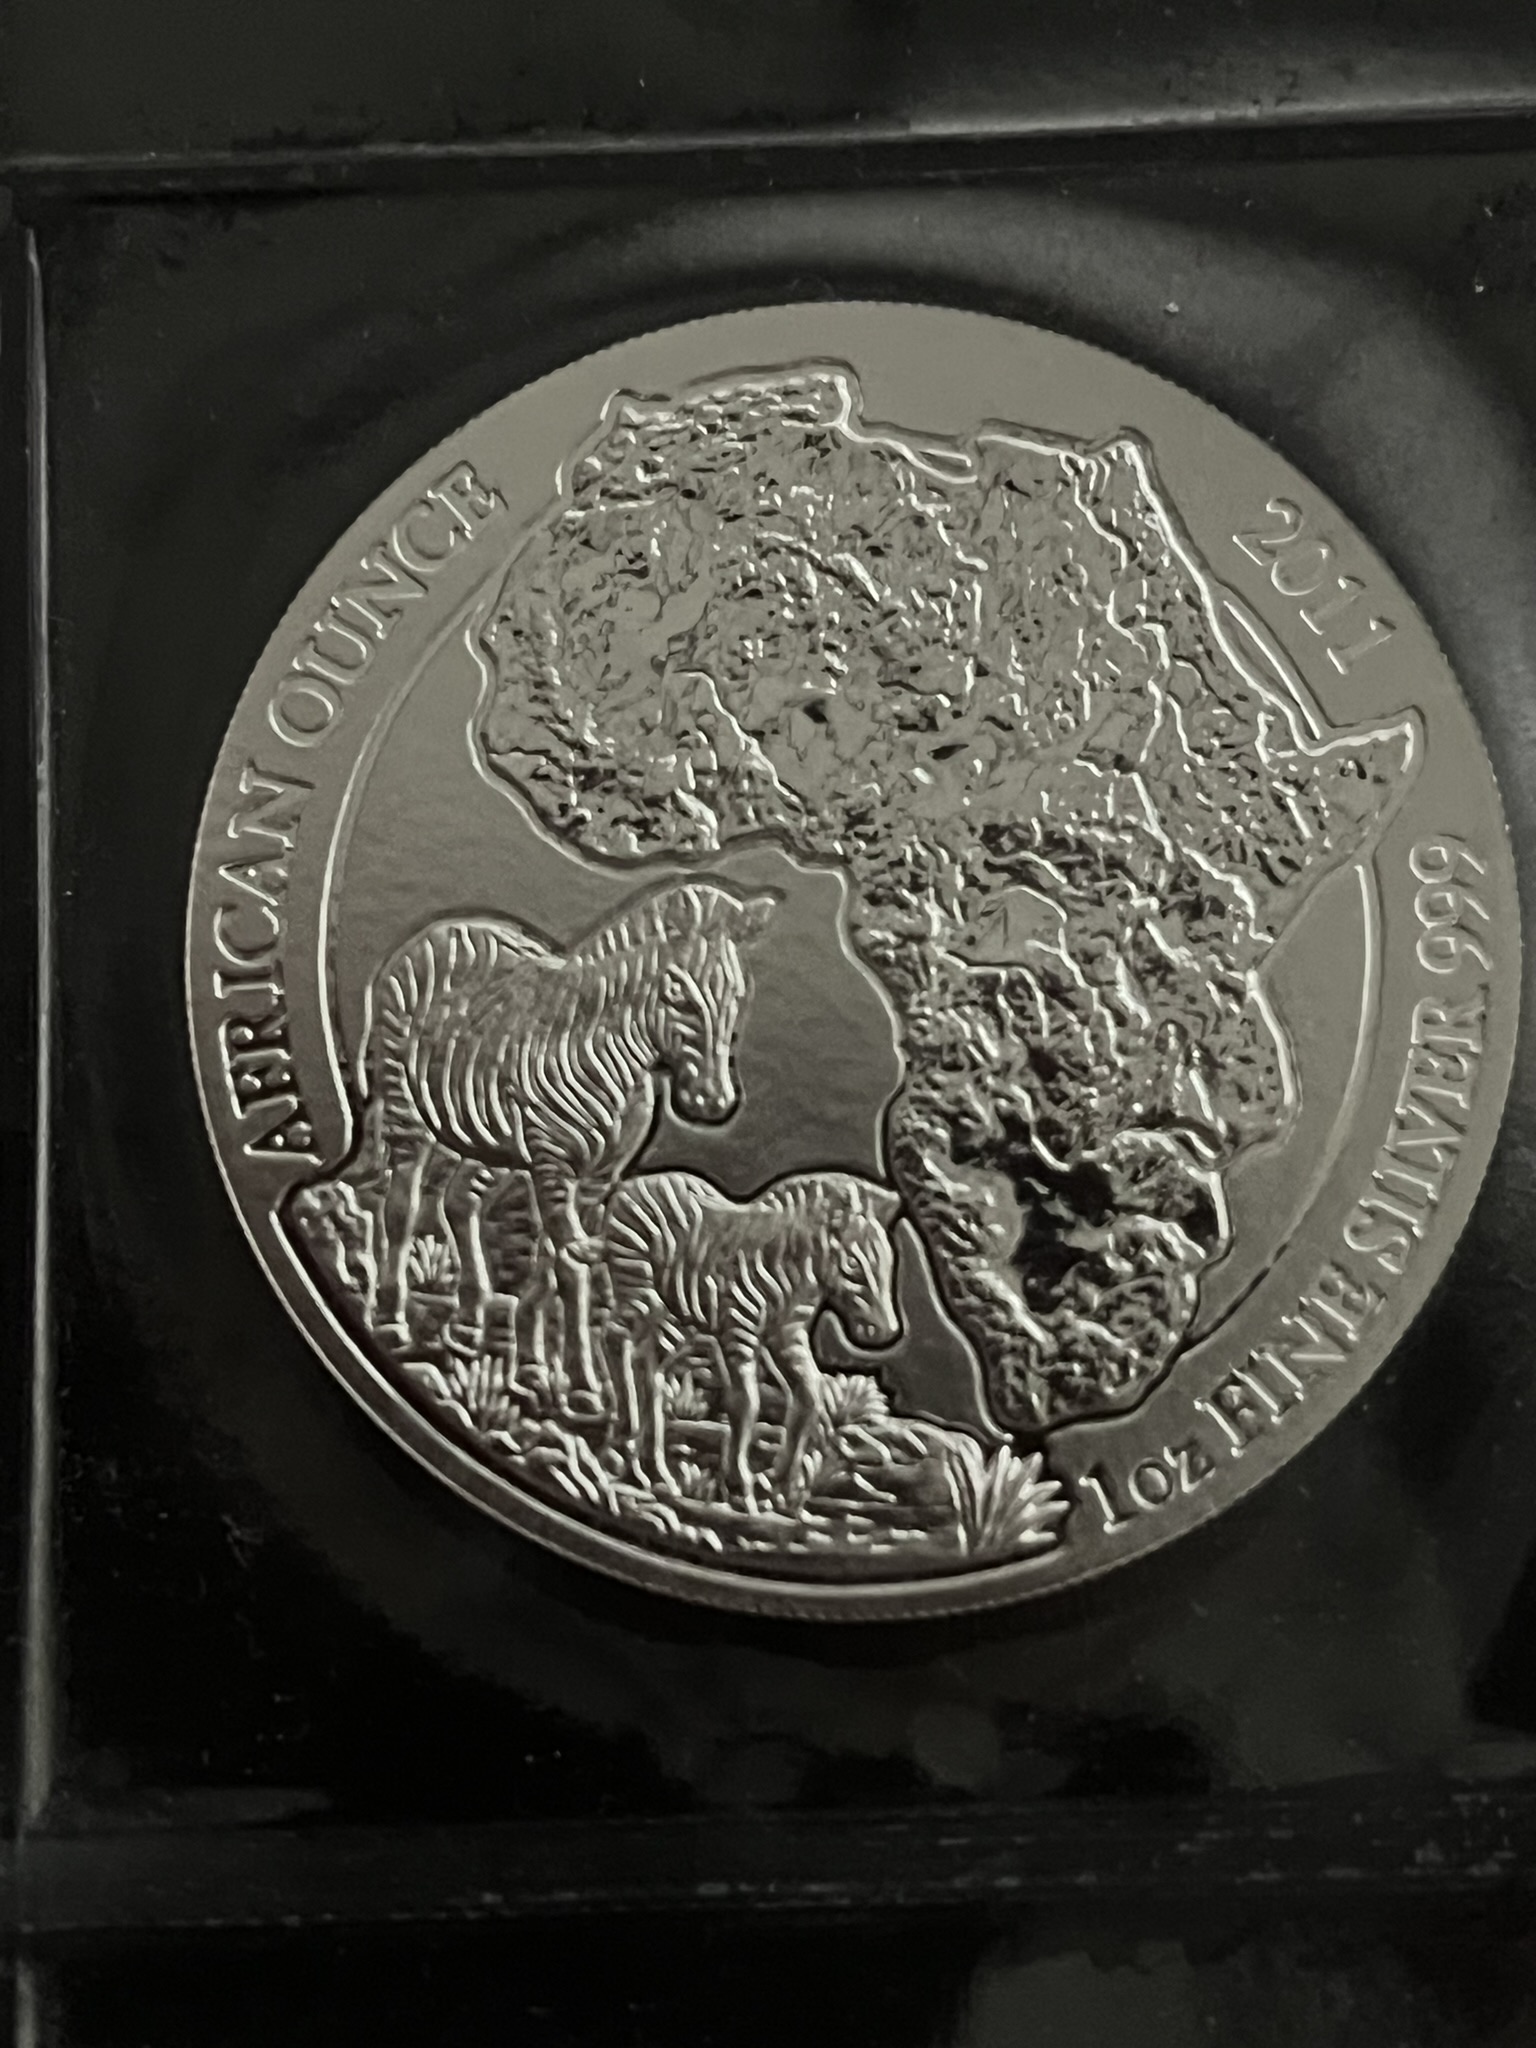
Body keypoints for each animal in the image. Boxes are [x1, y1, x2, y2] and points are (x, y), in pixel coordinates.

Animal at [340, 878, 778, 1402]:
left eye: (738, 991)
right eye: (676, 991)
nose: (714, 1102)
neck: (613, 1058)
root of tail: (442, 928)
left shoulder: (598, 1178)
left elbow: (554, 1258)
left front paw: (533, 1366)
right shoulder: (554, 1164)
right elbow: (572, 1266)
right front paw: (583, 1384)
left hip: (478, 1134)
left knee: (458, 1203)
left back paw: (467, 1325)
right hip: (409, 1112)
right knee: (401, 1203)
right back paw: (390, 1321)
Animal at [602, 1170, 902, 1505]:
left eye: (890, 1260)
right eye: (852, 1264)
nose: (887, 1331)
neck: (796, 1264)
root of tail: (631, 1184)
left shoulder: (787, 1333)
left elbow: (809, 1394)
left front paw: (780, 1483)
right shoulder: (738, 1327)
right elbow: (746, 1402)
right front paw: (739, 1485)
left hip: (677, 1314)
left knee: (649, 1366)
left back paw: (647, 1463)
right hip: (639, 1288)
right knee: (614, 1337)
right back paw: (627, 1435)